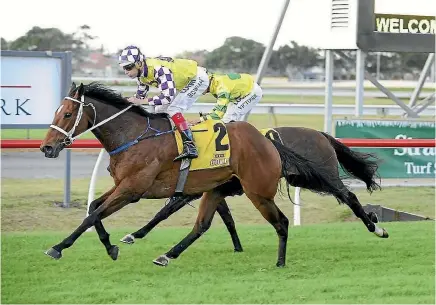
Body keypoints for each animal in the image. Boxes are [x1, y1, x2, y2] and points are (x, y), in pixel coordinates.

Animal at [38, 82, 354, 266]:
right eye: (56, 112)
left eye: (67, 114)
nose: (46, 147)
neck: (135, 136)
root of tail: (269, 142)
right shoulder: (124, 186)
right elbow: (94, 208)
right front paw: (109, 245)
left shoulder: (133, 190)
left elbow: (93, 215)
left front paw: (59, 247)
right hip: (219, 188)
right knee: (202, 225)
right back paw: (167, 255)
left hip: (258, 191)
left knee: (288, 219)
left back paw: (280, 262)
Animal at [120, 124, 388, 253]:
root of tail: (322, 134)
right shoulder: (214, 188)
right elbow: (224, 217)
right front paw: (237, 246)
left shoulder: (193, 189)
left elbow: (164, 211)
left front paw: (133, 234)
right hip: (304, 179)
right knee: (347, 196)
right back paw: (374, 220)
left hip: (321, 176)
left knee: (348, 195)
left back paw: (377, 228)